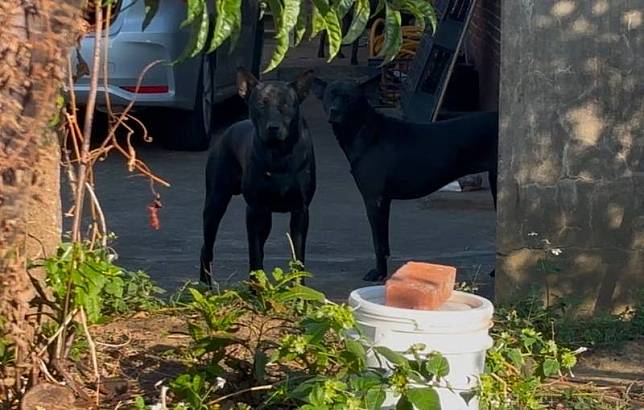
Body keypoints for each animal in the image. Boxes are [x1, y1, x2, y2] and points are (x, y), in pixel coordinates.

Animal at [199, 69, 314, 286]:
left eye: (286, 104)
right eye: (261, 104)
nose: (273, 127)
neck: (279, 154)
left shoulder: (300, 211)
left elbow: (298, 257)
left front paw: (300, 291)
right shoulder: (254, 209)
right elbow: (255, 255)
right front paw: (258, 289)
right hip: (216, 202)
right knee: (207, 246)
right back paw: (204, 284)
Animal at [312, 79, 498, 282]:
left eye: (350, 98)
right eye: (330, 94)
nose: (334, 111)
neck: (365, 130)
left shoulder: (374, 199)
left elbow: (378, 242)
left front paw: (378, 273)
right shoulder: (384, 201)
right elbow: (384, 242)